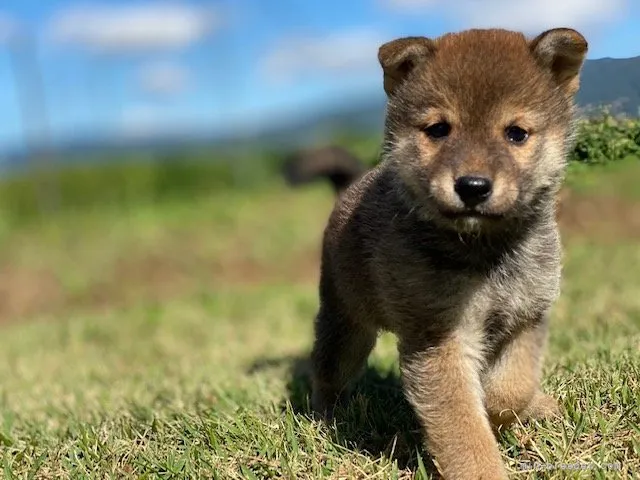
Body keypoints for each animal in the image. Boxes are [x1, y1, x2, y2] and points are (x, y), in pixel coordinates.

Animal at [312, 28, 588, 478]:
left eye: (516, 133)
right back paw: (323, 419)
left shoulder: (527, 317)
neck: (485, 252)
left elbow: (511, 388)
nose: (472, 186)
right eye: (439, 129)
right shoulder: (440, 339)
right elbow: (462, 427)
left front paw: (508, 409)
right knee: (326, 373)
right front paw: (482, 466)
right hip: (346, 324)